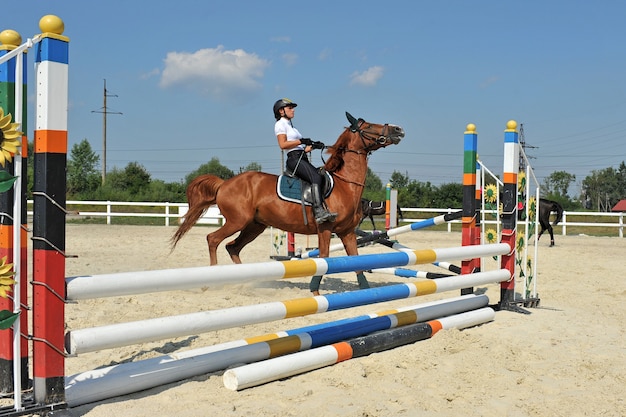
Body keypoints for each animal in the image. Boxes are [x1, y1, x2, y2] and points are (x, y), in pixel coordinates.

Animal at [169, 111, 404, 292]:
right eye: (368, 125)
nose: (398, 129)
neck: (344, 184)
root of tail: (224, 183)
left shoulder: (347, 232)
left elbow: (357, 262)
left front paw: (365, 290)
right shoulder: (325, 229)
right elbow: (324, 258)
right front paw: (315, 290)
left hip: (254, 226)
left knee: (232, 247)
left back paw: (245, 280)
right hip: (237, 221)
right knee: (213, 240)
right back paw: (210, 282)